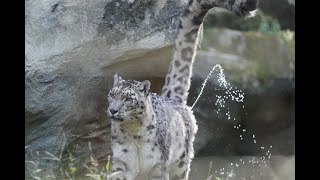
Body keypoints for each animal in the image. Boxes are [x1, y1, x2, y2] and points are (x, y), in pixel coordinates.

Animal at [106, 0, 258, 179]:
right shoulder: (120, 163)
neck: (133, 135)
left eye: (128, 98)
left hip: (181, 164)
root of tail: (172, 100)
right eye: (112, 95)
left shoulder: (158, 167)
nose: (113, 110)